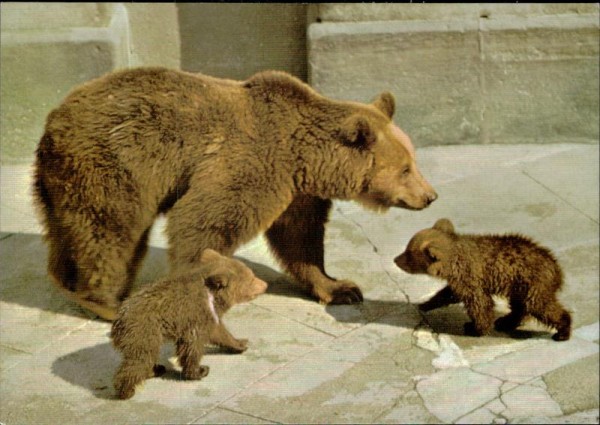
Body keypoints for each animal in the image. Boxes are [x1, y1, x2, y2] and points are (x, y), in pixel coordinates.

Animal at [31, 67, 436, 318]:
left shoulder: (297, 193)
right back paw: (106, 302)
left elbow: (300, 238)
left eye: (413, 160)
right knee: (110, 232)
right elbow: (202, 222)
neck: (306, 158)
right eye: (405, 168)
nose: (430, 196)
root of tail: (54, 118)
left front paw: (340, 287)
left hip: (63, 179)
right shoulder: (252, 164)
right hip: (115, 163)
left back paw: (66, 283)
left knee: (69, 231)